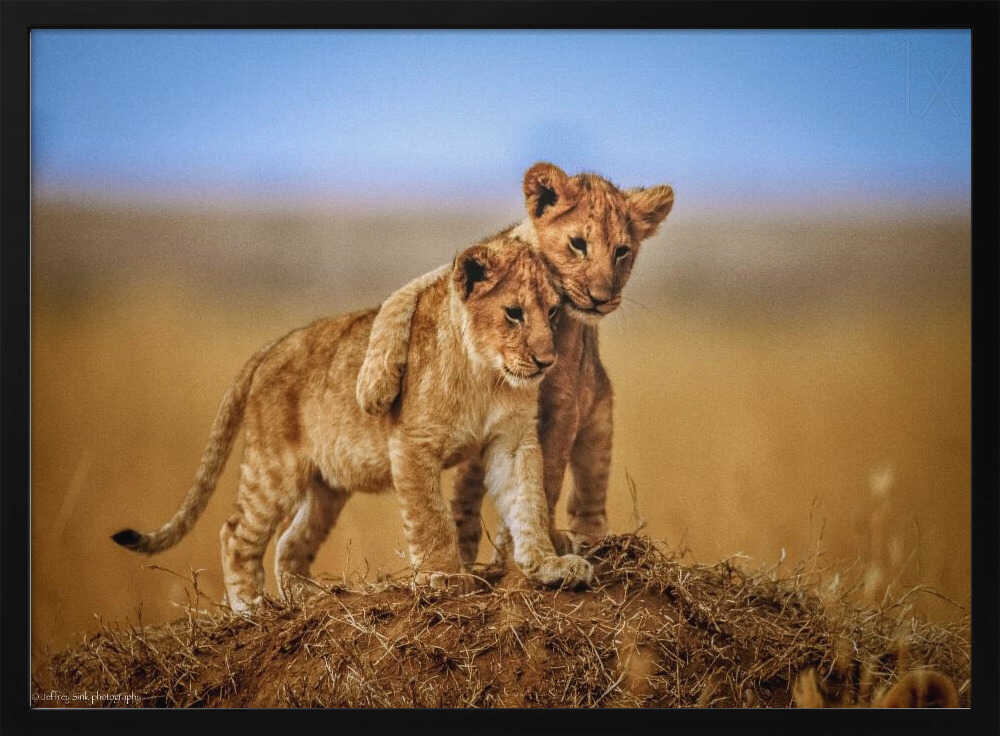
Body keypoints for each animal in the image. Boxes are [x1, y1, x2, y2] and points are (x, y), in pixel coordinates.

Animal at [112, 237, 592, 612]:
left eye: (553, 313)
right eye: (514, 313)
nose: (546, 361)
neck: (486, 375)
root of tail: (271, 347)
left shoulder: (512, 441)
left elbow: (528, 502)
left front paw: (548, 566)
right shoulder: (412, 443)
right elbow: (431, 518)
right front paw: (442, 577)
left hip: (327, 486)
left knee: (290, 543)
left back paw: (309, 597)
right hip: (274, 468)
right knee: (236, 533)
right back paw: (250, 608)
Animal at [356, 162, 674, 563]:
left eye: (622, 251)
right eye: (578, 244)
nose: (601, 298)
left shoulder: (563, 404)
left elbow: (546, 477)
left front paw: (534, 544)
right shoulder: (458, 273)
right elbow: (399, 300)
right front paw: (374, 386)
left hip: (598, 422)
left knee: (588, 493)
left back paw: (588, 541)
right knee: (465, 495)